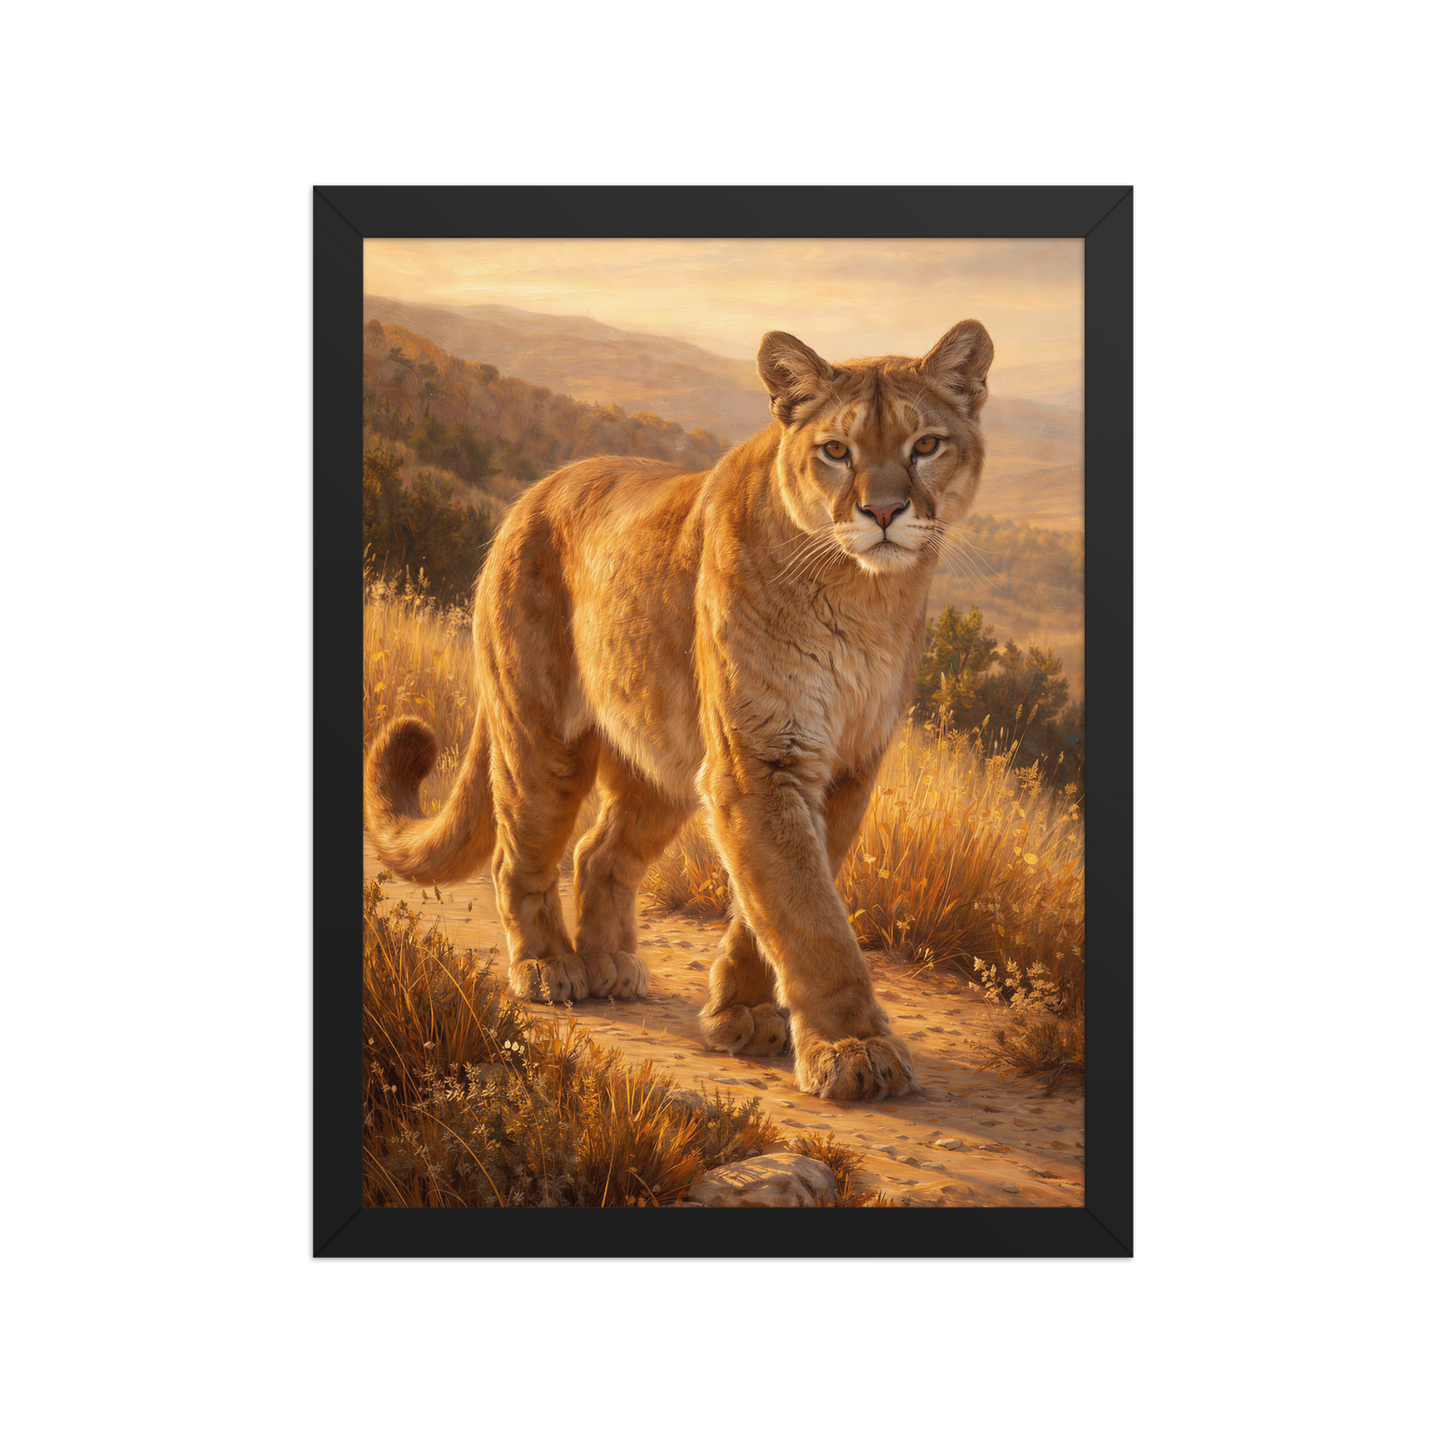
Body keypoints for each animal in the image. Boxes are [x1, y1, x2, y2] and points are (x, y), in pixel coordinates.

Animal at [364, 319, 994, 1100]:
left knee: (601, 852)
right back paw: (548, 967)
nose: (882, 512)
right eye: (836, 450)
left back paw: (611, 966)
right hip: (542, 737)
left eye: (925, 445)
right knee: (522, 854)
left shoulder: (843, 768)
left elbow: (775, 903)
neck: (866, 595)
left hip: (659, 760)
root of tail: (531, 494)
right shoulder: (761, 759)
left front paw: (745, 1014)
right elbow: (809, 916)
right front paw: (855, 1049)